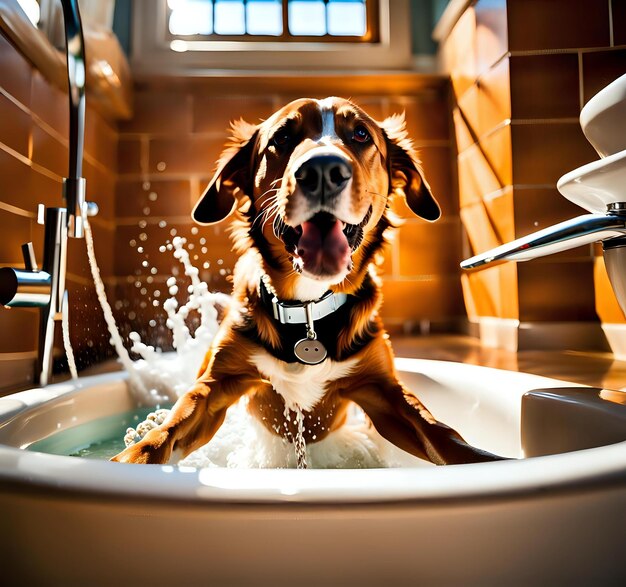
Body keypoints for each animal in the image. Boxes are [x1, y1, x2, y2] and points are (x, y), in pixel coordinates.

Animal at [112, 97, 502, 468]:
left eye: (361, 135)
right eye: (282, 137)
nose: (323, 170)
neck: (309, 310)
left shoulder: (384, 391)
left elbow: (446, 437)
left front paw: (492, 462)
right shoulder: (214, 387)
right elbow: (164, 433)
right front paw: (128, 460)